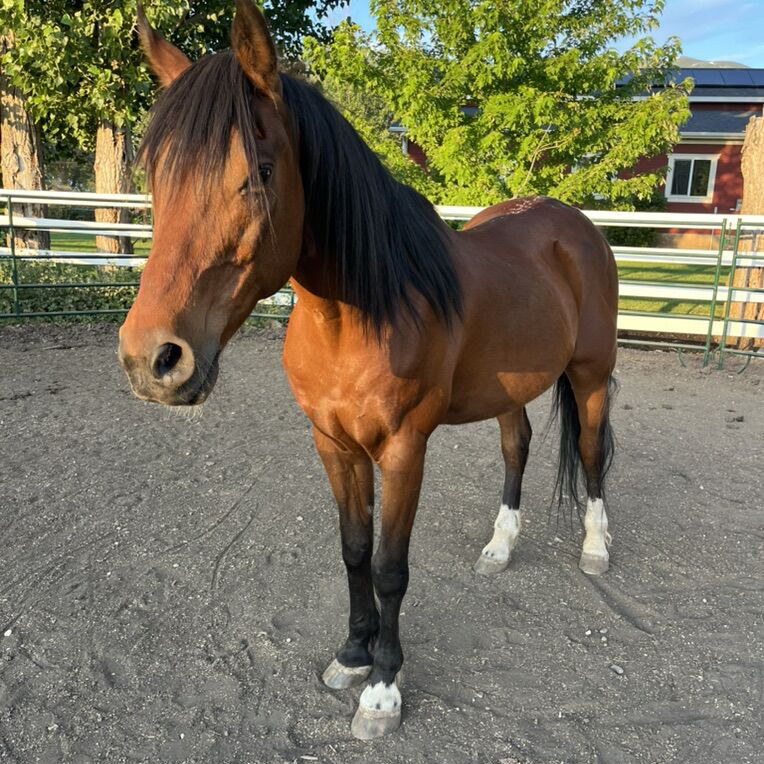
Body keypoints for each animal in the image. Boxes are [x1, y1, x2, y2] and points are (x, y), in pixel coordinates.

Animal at [119, 0, 618, 740]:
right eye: (157, 174)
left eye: (259, 171)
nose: (153, 359)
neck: (360, 314)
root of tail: (573, 225)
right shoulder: (334, 443)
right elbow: (353, 549)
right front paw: (352, 654)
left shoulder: (404, 449)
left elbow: (389, 567)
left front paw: (382, 689)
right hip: (510, 389)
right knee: (517, 448)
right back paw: (499, 548)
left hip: (589, 375)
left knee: (588, 452)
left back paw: (596, 548)